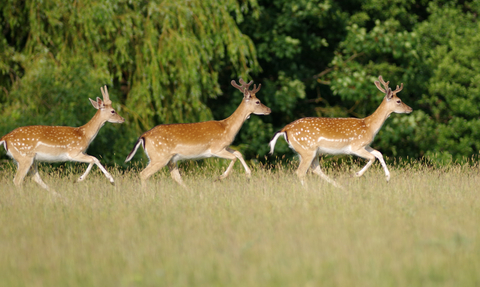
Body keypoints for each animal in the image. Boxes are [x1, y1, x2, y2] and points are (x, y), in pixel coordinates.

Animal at [125, 77, 272, 189]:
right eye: (258, 101)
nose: (269, 110)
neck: (227, 128)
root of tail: (143, 136)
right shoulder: (216, 148)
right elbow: (234, 157)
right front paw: (219, 177)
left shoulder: (225, 146)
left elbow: (238, 153)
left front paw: (248, 174)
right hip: (159, 157)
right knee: (143, 174)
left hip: (169, 159)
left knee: (176, 177)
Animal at [270, 76, 412, 188]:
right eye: (399, 101)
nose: (410, 109)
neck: (369, 126)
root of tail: (285, 129)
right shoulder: (355, 146)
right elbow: (372, 157)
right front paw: (356, 174)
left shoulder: (365, 145)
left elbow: (379, 153)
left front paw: (387, 177)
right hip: (307, 149)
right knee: (301, 172)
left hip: (310, 151)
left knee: (315, 169)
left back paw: (339, 187)